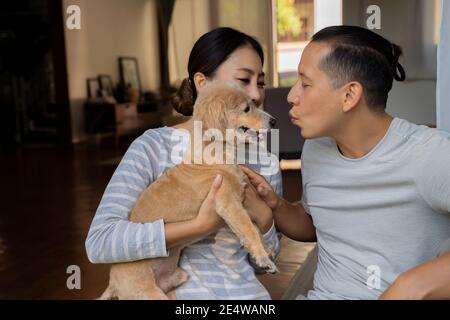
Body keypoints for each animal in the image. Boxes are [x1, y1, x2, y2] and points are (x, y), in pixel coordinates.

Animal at [100, 80, 276, 300]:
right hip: (148, 293)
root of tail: (113, 283)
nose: (274, 121)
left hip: (175, 284)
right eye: (246, 108)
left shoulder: (240, 202)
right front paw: (262, 256)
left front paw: (267, 252)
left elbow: (254, 228)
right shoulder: (228, 203)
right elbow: (249, 228)